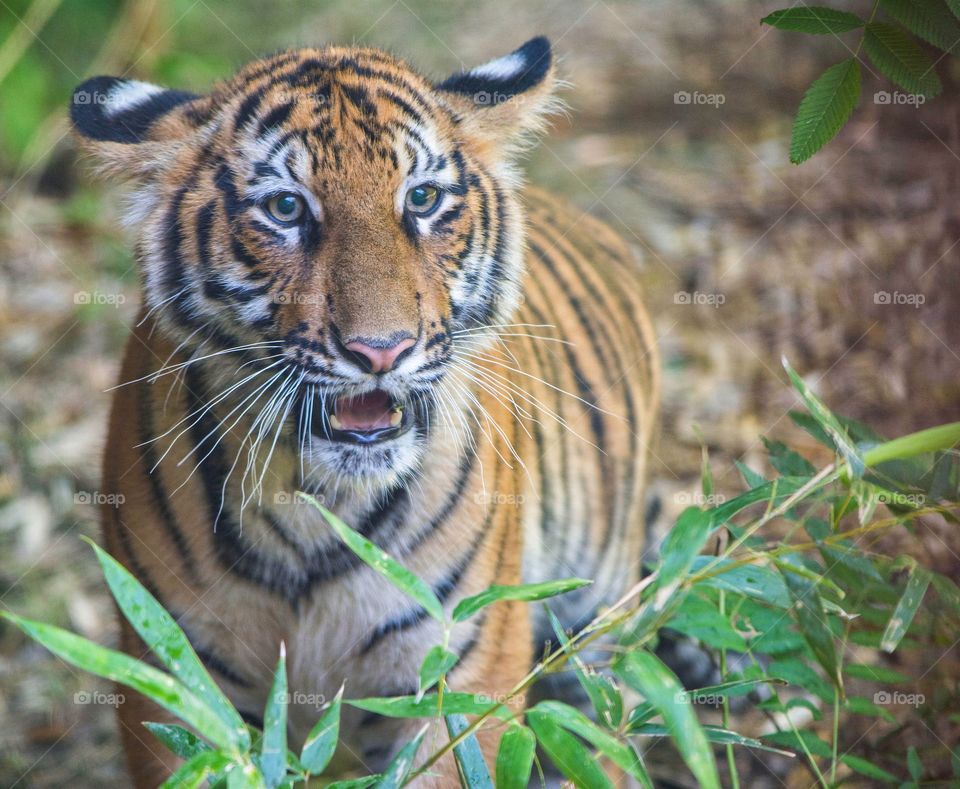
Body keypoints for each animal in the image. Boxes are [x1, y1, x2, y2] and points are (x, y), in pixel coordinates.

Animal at [70, 36, 659, 786]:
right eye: (286, 208)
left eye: (424, 199)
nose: (382, 351)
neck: (310, 500)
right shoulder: (176, 679)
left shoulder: (460, 672)